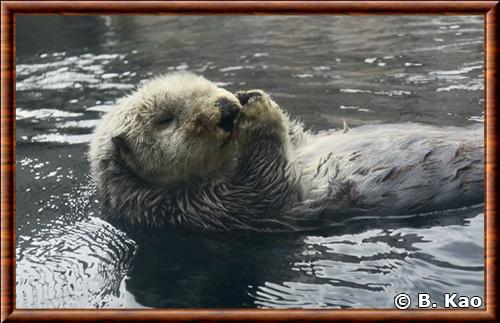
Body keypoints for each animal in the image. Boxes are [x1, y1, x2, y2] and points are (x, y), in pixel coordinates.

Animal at [91, 72, 484, 232]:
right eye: (165, 120)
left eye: (207, 87)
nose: (227, 108)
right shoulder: (209, 209)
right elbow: (267, 186)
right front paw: (258, 112)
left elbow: (295, 136)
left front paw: (251, 97)